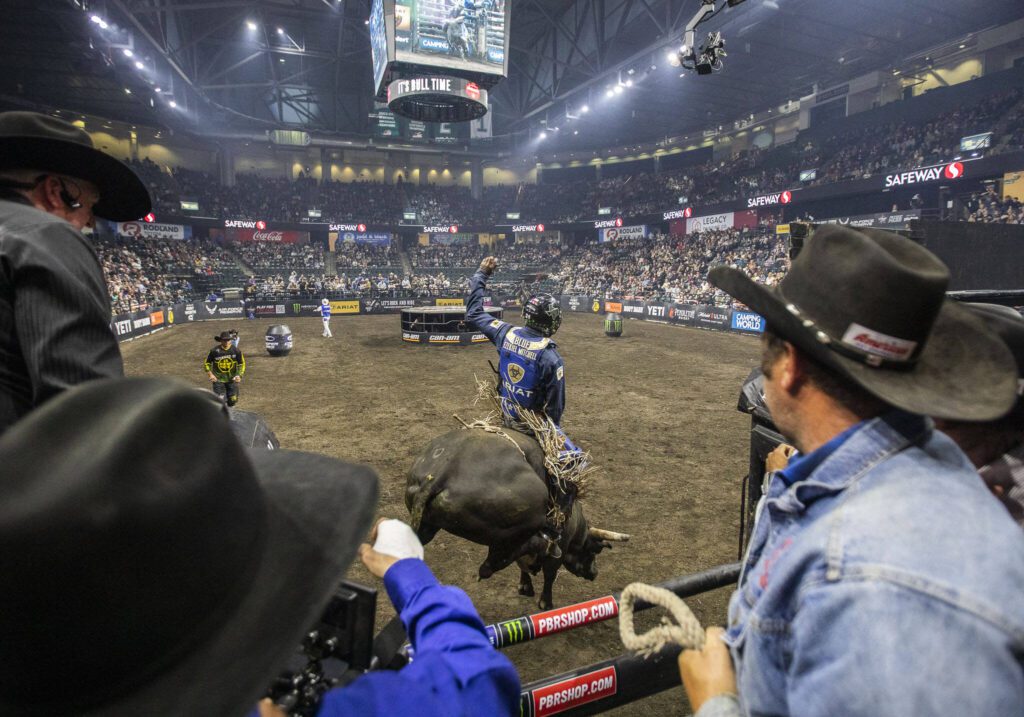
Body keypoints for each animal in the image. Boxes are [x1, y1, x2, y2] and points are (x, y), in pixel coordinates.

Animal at [403, 428, 626, 606]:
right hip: (527, 516)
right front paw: (545, 600)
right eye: (594, 551)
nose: (594, 573)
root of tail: (441, 472)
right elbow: (549, 574)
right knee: (493, 563)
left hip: (427, 525)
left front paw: (525, 586)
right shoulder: (561, 548)